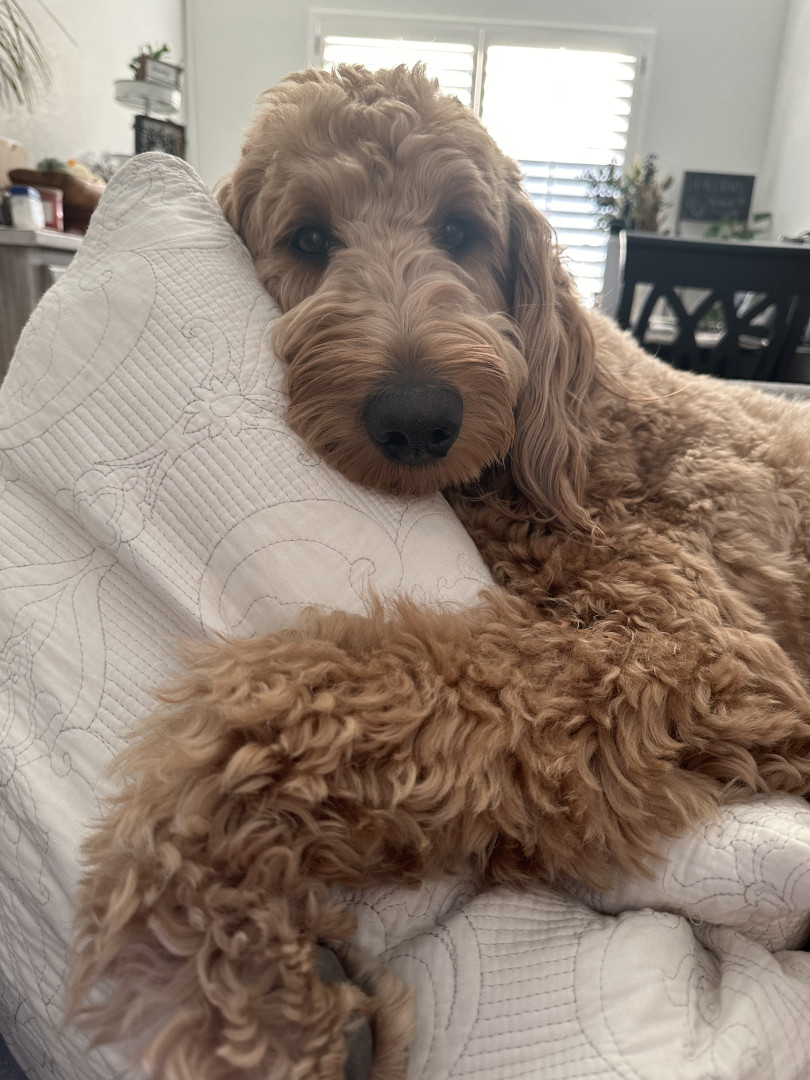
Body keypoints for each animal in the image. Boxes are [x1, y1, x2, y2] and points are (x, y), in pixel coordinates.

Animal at [70, 64, 810, 1079]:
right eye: (309, 238)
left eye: (461, 230)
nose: (419, 416)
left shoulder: (695, 653)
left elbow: (329, 698)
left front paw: (226, 957)